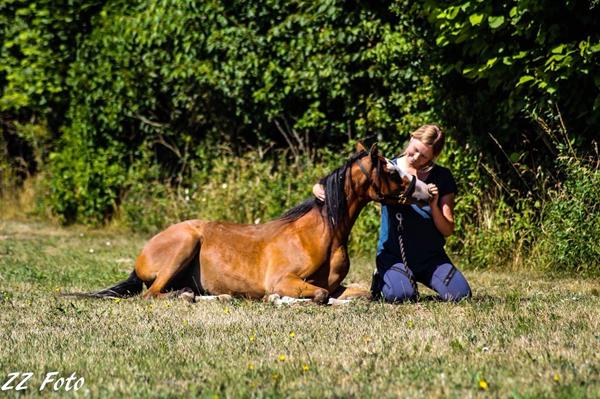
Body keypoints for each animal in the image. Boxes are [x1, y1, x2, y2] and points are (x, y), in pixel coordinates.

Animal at [67, 145, 432, 304]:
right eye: (391, 170)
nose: (425, 191)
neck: (319, 234)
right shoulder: (284, 280)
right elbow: (317, 296)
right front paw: (278, 301)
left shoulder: (337, 285)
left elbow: (355, 294)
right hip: (184, 245)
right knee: (152, 294)